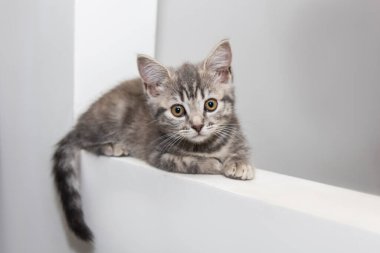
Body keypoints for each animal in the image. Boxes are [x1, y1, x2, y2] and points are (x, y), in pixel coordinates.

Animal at [52, 39, 254, 241]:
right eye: (177, 110)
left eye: (210, 104)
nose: (197, 125)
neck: (206, 146)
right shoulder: (157, 153)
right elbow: (188, 162)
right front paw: (212, 163)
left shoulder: (235, 131)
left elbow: (240, 149)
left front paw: (240, 163)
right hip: (112, 114)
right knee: (82, 139)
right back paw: (110, 145)